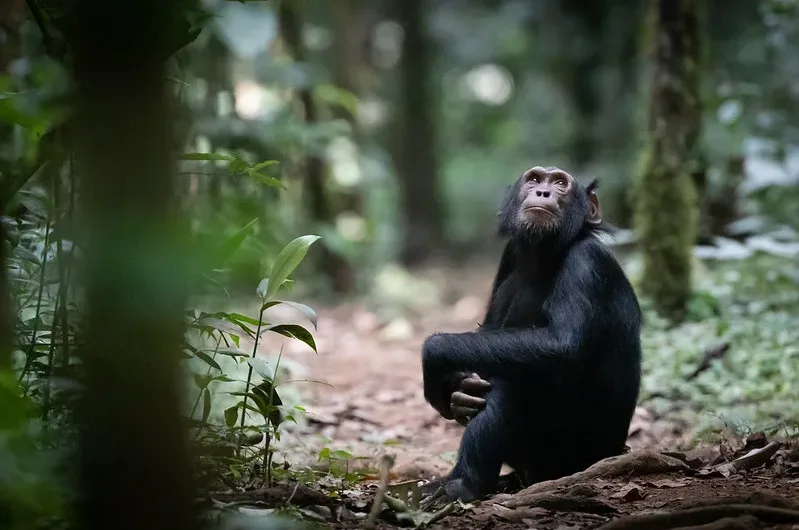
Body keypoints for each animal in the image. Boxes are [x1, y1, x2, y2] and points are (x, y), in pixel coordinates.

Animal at [422, 164, 640, 500]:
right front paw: (459, 390)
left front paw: (435, 357)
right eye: (535, 179)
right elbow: (489, 328)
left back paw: (465, 485)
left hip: (568, 457)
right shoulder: (510, 254)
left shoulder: (587, 263)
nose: (543, 192)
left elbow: (561, 345)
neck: (546, 254)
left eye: (561, 183)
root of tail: (616, 451)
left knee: (518, 376)